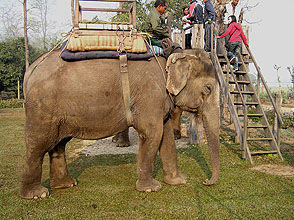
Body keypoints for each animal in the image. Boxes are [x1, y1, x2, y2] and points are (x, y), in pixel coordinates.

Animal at [20, 48, 218, 199]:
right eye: (208, 89)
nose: (205, 181)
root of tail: (31, 68)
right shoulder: (150, 94)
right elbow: (152, 133)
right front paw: (151, 188)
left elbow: (166, 136)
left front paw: (179, 181)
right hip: (42, 109)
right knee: (38, 145)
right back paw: (37, 194)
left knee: (59, 144)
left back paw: (66, 184)